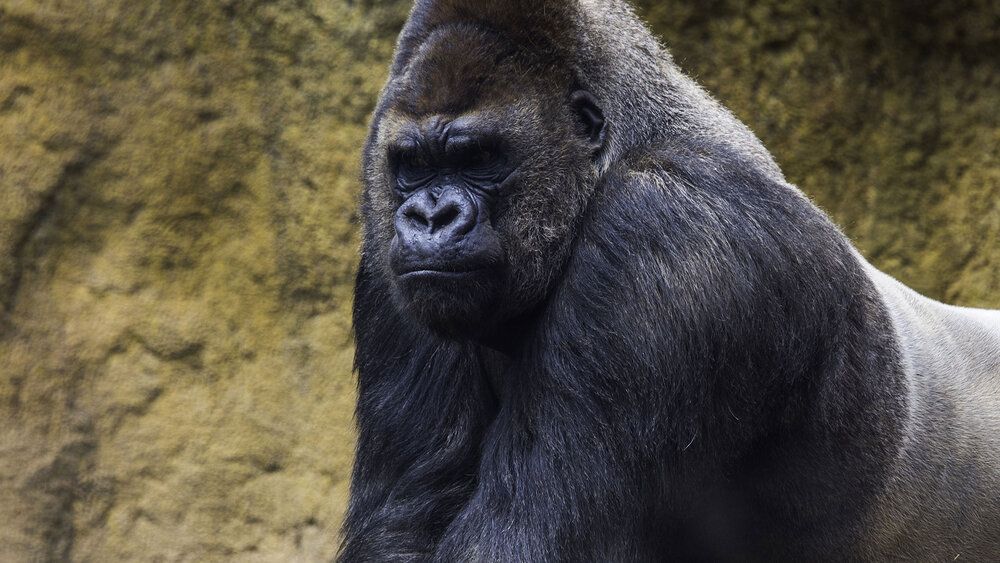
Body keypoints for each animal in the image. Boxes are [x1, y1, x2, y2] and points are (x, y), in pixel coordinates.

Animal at [340, 0, 1000, 560]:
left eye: (477, 158)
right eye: (413, 165)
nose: (429, 216)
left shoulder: (660, 237)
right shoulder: (388, 264)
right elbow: (405, 522)